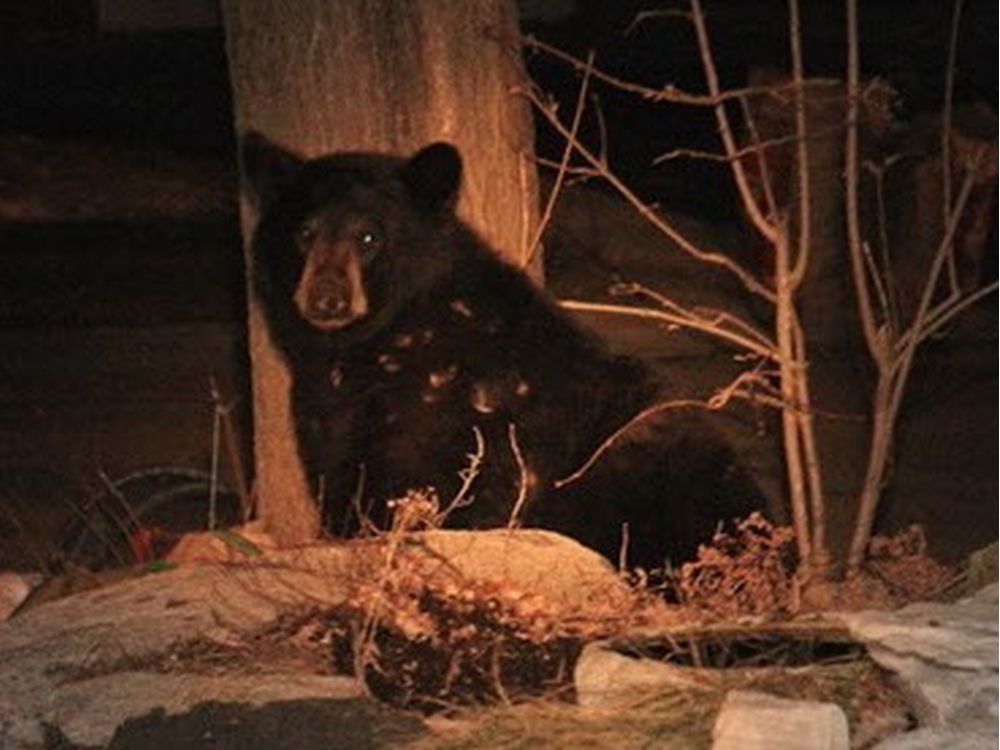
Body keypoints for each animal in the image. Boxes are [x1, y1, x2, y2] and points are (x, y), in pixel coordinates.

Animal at [241, 132, 764, 570]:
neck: (384, 338)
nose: (327, 299)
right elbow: (336, 465)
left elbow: (460, 481)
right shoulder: (326, 402)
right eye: (304, 233)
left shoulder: (471, 405)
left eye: (369, 237)